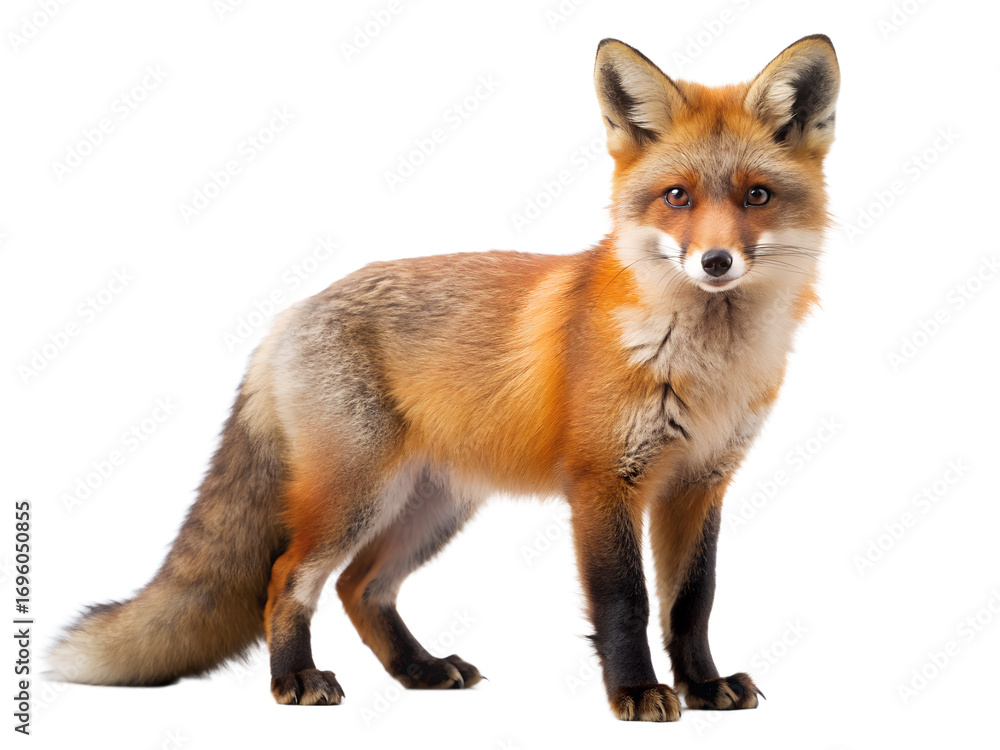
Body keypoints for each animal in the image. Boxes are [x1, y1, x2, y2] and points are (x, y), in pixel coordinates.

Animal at [51, 35, 839, 721]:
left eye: (757, 197)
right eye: (677, 197)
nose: (715, 263)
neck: (703, 364)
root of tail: (288, 316)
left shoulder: (700, 482)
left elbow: (691, 602)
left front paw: (704, 687)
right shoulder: (602, 482)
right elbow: (627, 603)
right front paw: (637, 694)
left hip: (432, 507)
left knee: (360, 588)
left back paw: (419, 670)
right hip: (355, 496)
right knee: (287, 580)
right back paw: (295, 679)